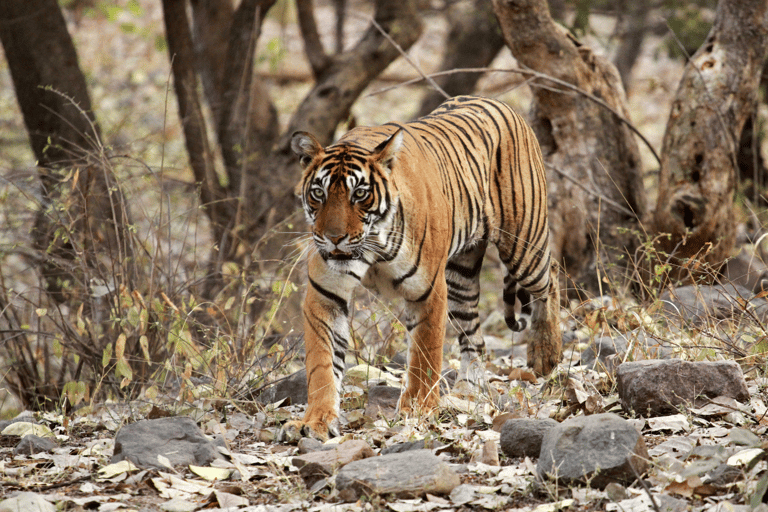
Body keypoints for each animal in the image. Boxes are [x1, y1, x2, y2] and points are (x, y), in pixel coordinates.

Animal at [280, 95, 560, 440]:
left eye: (359, 194)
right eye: (318, 193)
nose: (334, 238)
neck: (372, 244)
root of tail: (498, 101)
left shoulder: (427, 290)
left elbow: (426, 352)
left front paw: (420, 409)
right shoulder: (326, 295)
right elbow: (322, 364)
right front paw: (316, 421)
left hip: (523, 245)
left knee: (550, 278)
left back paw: (545, 355)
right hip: (461, 276)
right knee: (474, 337)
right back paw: (469, 392)